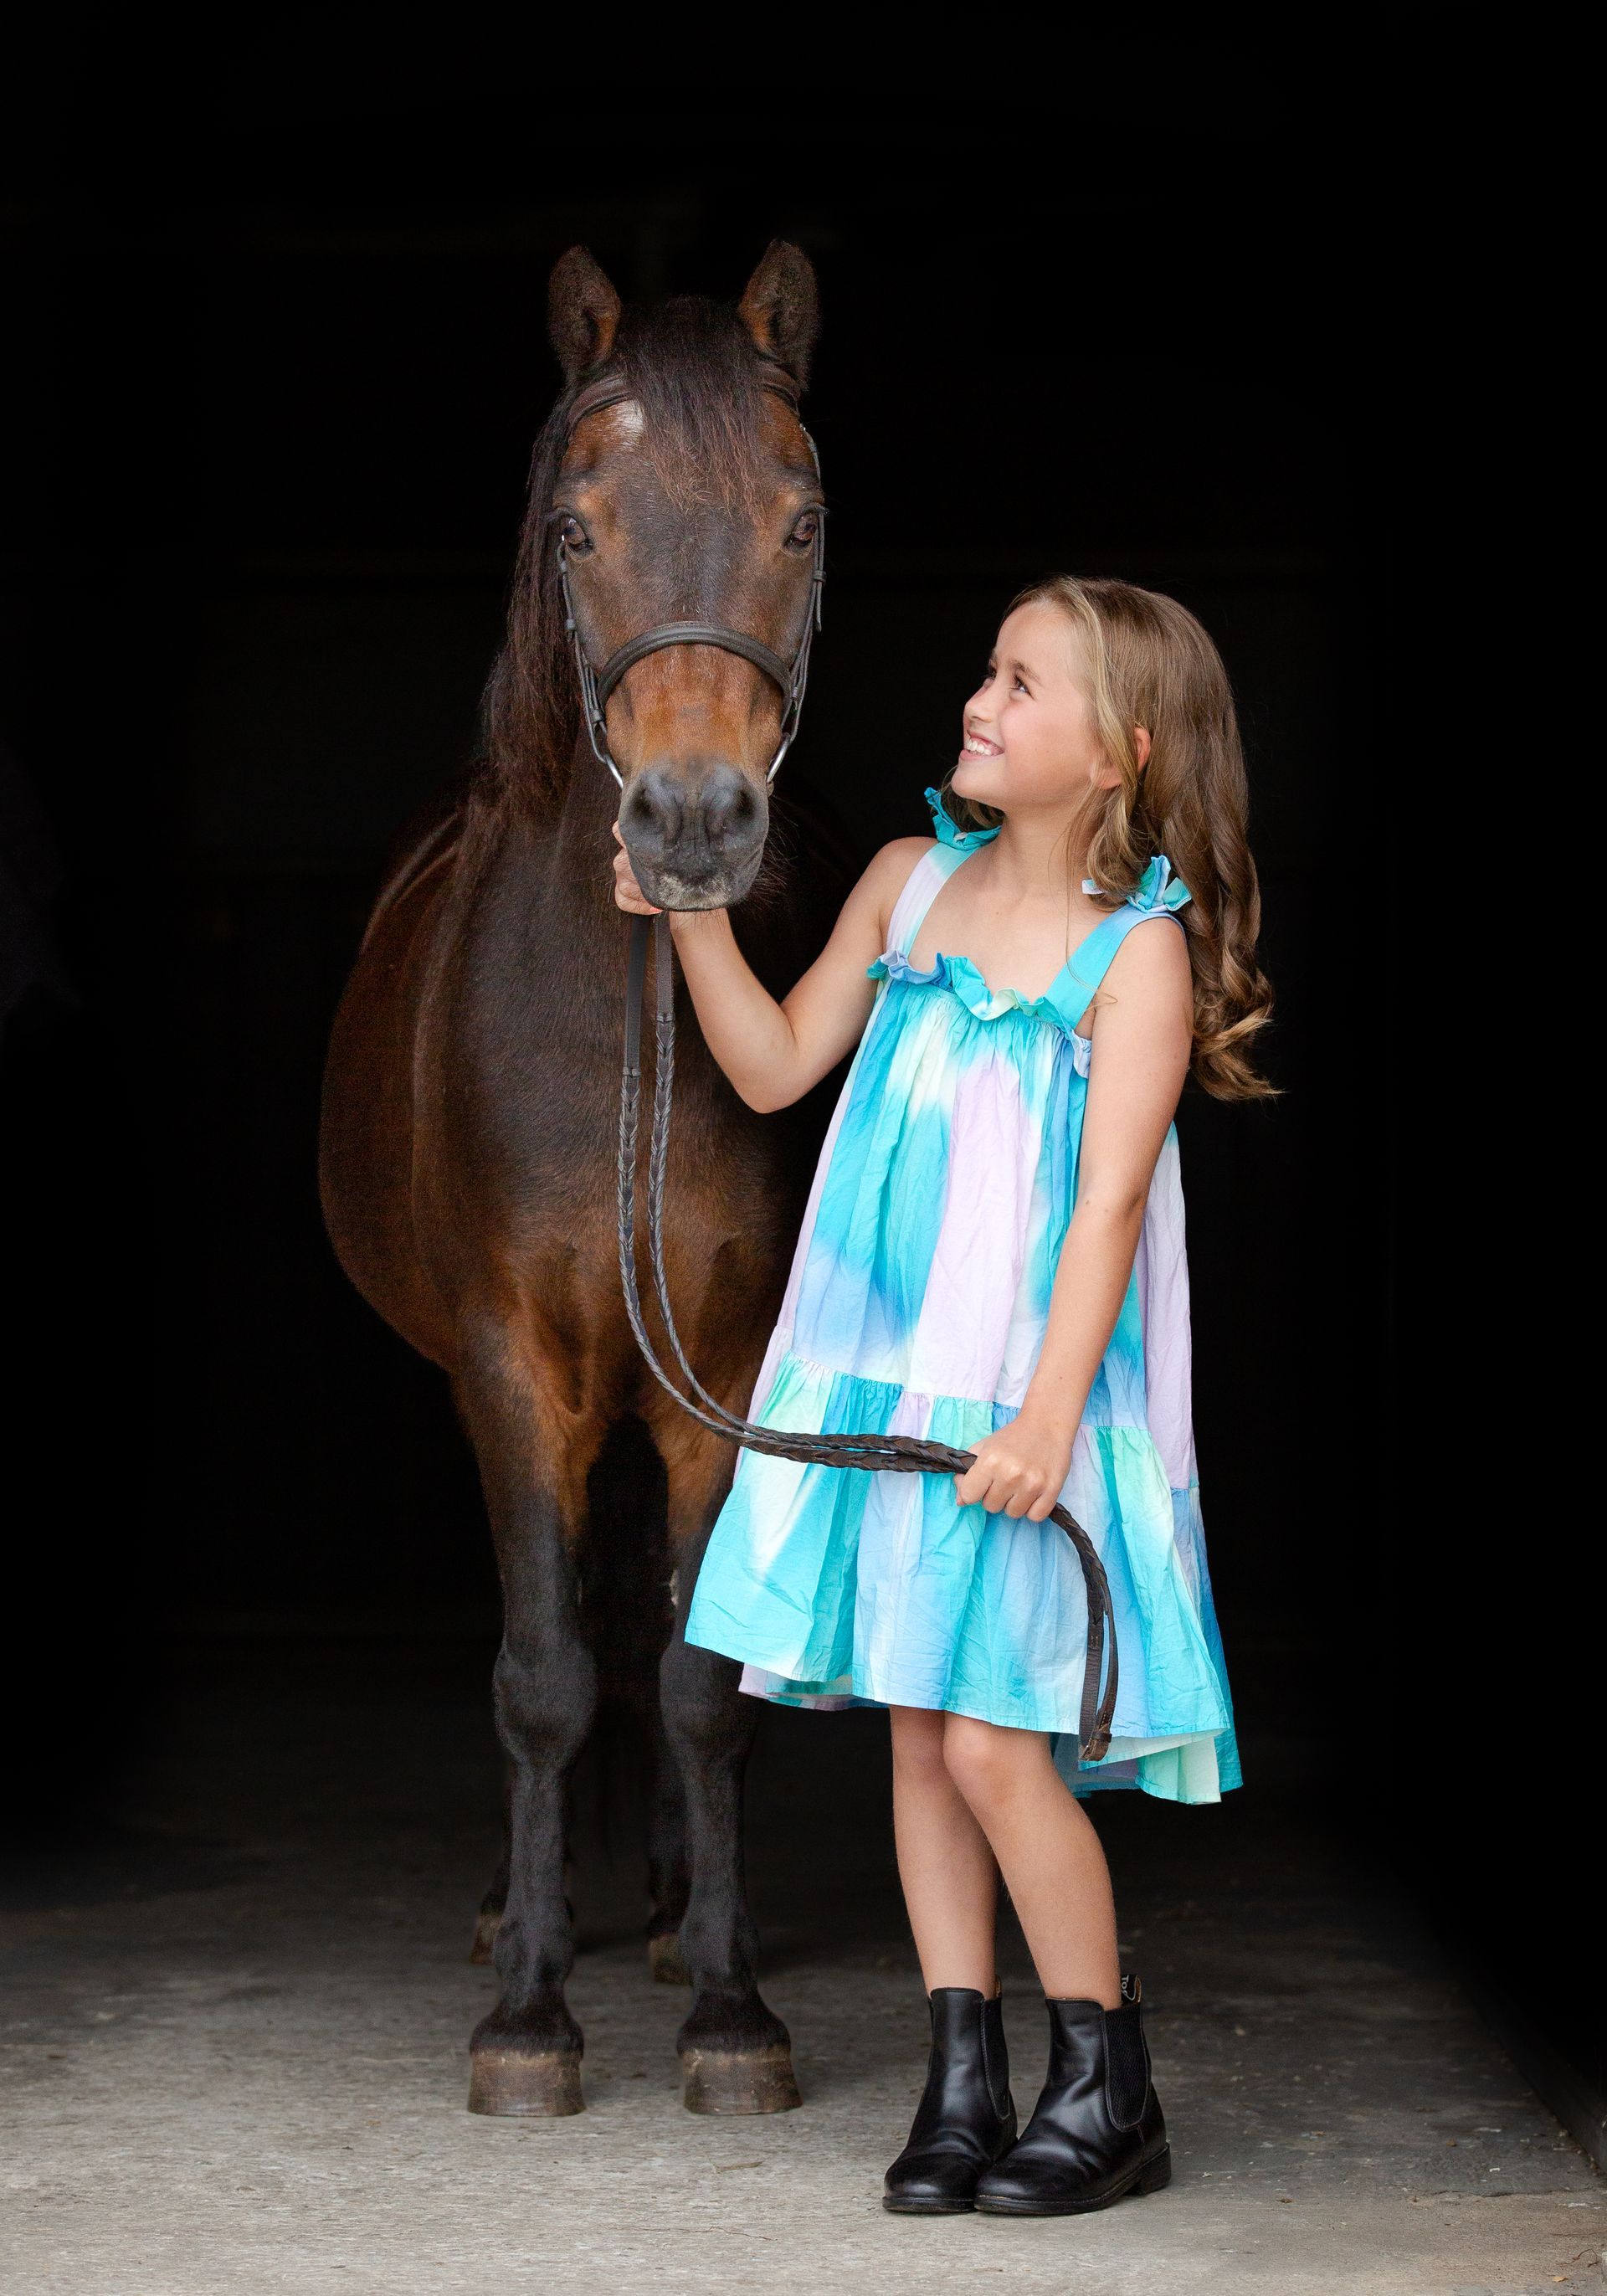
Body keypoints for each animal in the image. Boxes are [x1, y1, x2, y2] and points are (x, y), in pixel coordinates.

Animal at [318, 240, 859, 2118]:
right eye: (576, 525)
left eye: (799, 517)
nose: (689, 823)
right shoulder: (507, 1367)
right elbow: (542, 1674)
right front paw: (530, 2015)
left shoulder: (724, 1375)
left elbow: (700, 1675)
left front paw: (731, 2007)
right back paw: (527, 1907)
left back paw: (687, 1913)